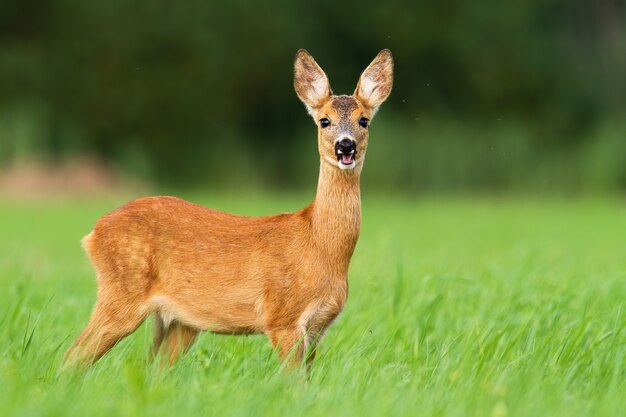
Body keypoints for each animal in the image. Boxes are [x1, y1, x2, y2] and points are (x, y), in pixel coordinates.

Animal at [66, 49, 392, 370]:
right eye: (324, 120)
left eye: (364, 120)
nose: (345, 146)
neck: (320, 245)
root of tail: (93, 233)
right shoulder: (282, 317)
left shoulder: (317, 328)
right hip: (122, 293)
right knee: (73, 355)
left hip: (178, 322)